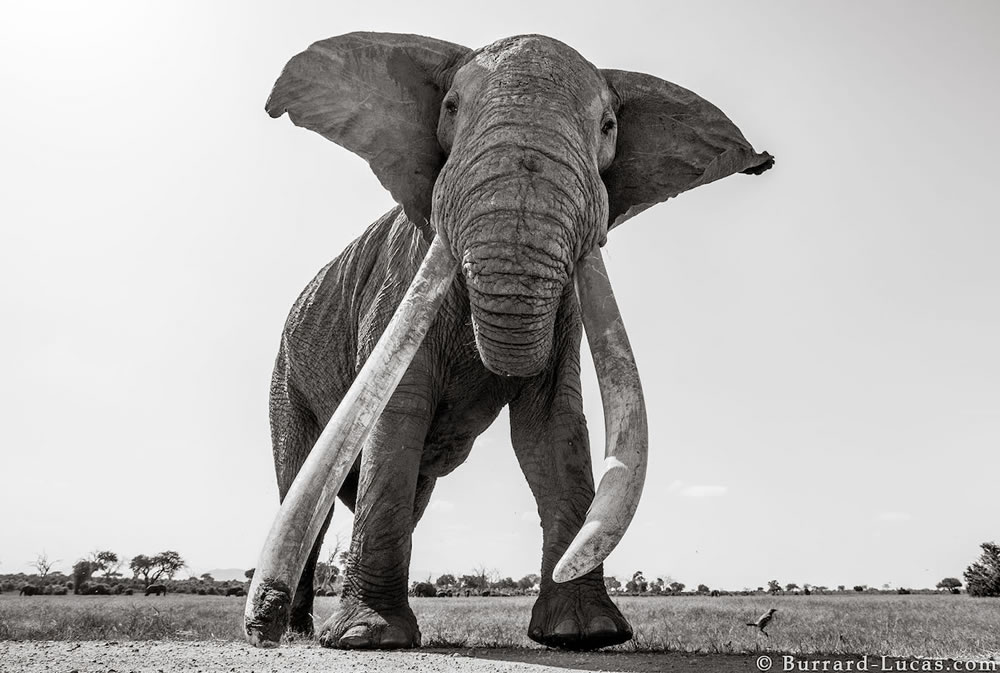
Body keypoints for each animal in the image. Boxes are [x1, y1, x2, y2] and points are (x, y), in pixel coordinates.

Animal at [244, 32, 772, 652]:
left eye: (608, 127)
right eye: (450, 108)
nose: (259, 627)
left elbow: (552, 426)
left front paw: (585, 635)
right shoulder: (397, 283)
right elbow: (398, 414)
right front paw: (367, 640)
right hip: (286, 378)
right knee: (306, 486)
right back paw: (294, 631)